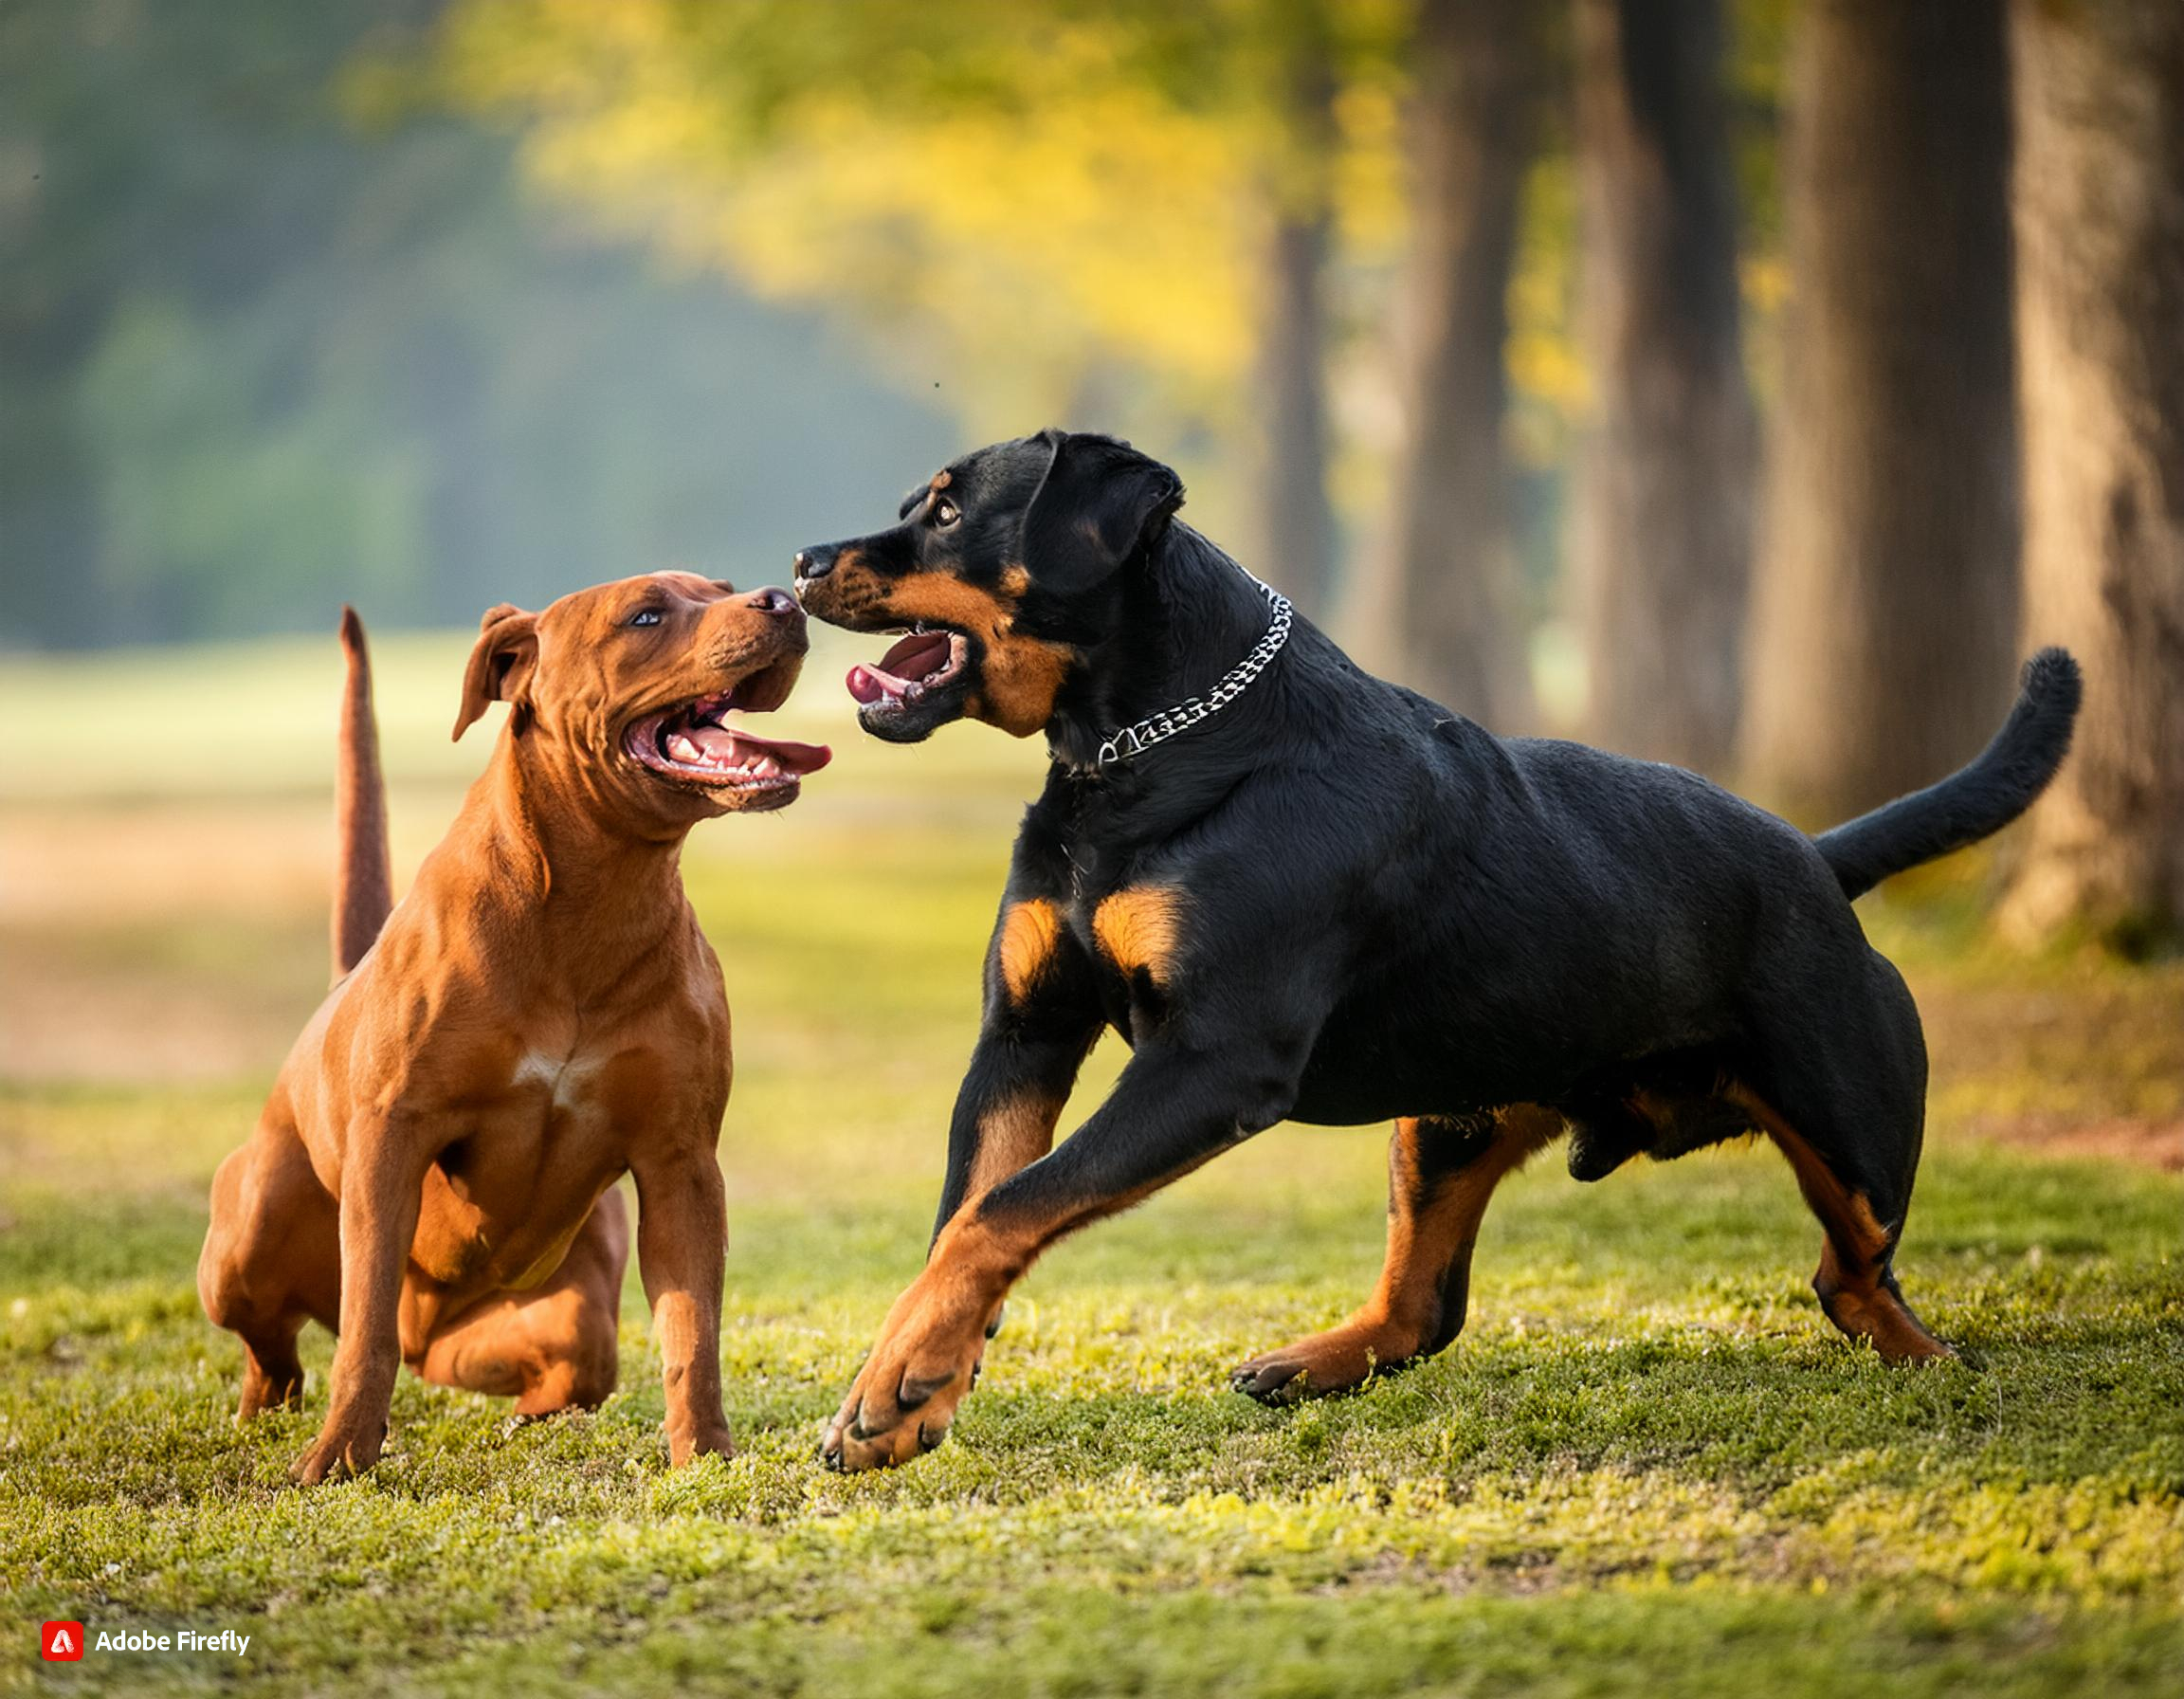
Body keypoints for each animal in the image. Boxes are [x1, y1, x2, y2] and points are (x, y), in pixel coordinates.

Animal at [198, 576, 825, 1476]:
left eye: (720, 587)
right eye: (646, 613)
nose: (784, 595)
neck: (587, 903)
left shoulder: (681, 1163)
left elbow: (691, 1334)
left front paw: (703, 1454)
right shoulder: (392, 1140)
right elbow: (362, 1330)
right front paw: (342, 1451)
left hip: (558, 1317)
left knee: (568, 1370)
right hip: (245, 1239)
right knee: (283, 1347)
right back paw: (274, 1410)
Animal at [791, 429, 2079, 1458]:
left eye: (949, 513)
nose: (802, 561)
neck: (1142, 749)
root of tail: (1816, 856)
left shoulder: (1212, 1061)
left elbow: (1005, 1209)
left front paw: (905, 1378)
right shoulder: (1025, 1032)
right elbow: (968, 1216)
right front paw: (918, 1379)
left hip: (1850, 1118)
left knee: (1855, 1276)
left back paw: (1936, 1362)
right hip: (1449, 1119)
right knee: (1426, 1311)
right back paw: (1309, 1361)